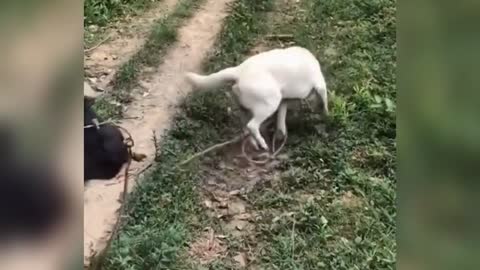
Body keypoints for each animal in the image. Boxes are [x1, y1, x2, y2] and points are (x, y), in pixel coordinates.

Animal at [186, 47, 328, 152]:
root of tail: (238, 71)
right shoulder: (317, 85)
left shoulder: (284, 100)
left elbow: (281, 117)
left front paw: (281, 134)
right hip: (270, 103)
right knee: (252, 125)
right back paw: (263, 144)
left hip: (245, 109)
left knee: (246, 128)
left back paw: (255, 143)